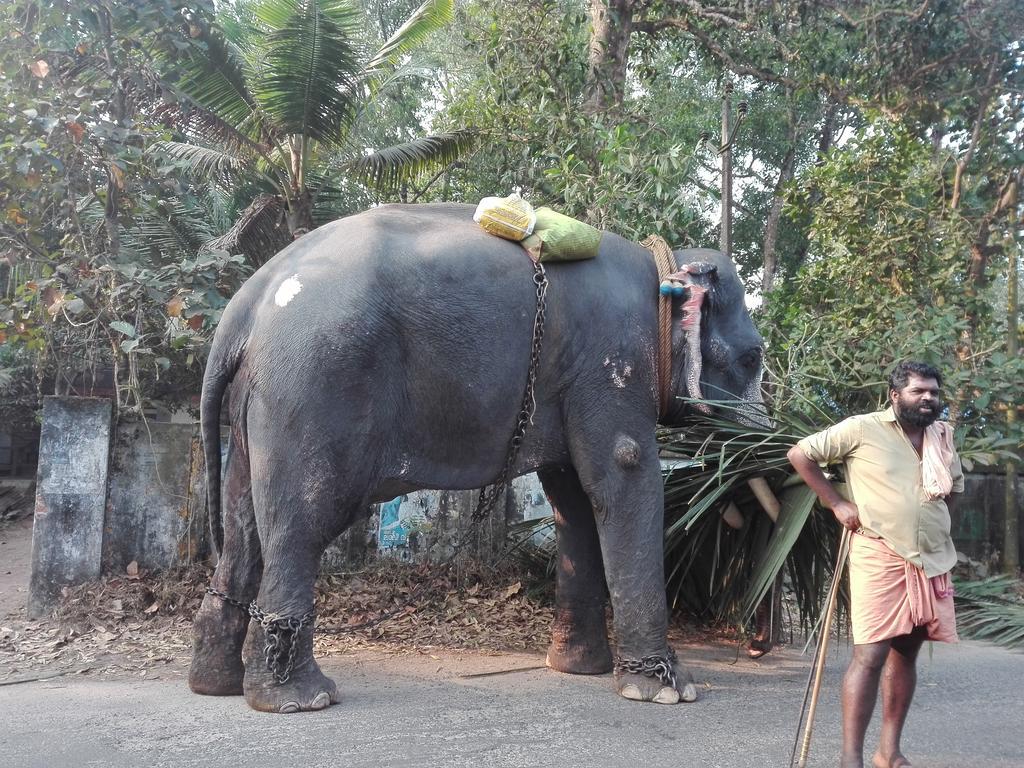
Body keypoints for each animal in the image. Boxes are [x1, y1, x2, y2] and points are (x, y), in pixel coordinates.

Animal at [188, 202, 765, 716]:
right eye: (753, 359)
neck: (663, 270)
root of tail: (248, 301)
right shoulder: (614, 361)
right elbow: (623, 473)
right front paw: (668, 691)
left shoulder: (573, 378)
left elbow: (574, 500)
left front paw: (579, 670)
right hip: (314, 384)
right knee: (301, 525)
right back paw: (298, 700)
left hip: (259, 401)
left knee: (243, 531)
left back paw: (215, 685)